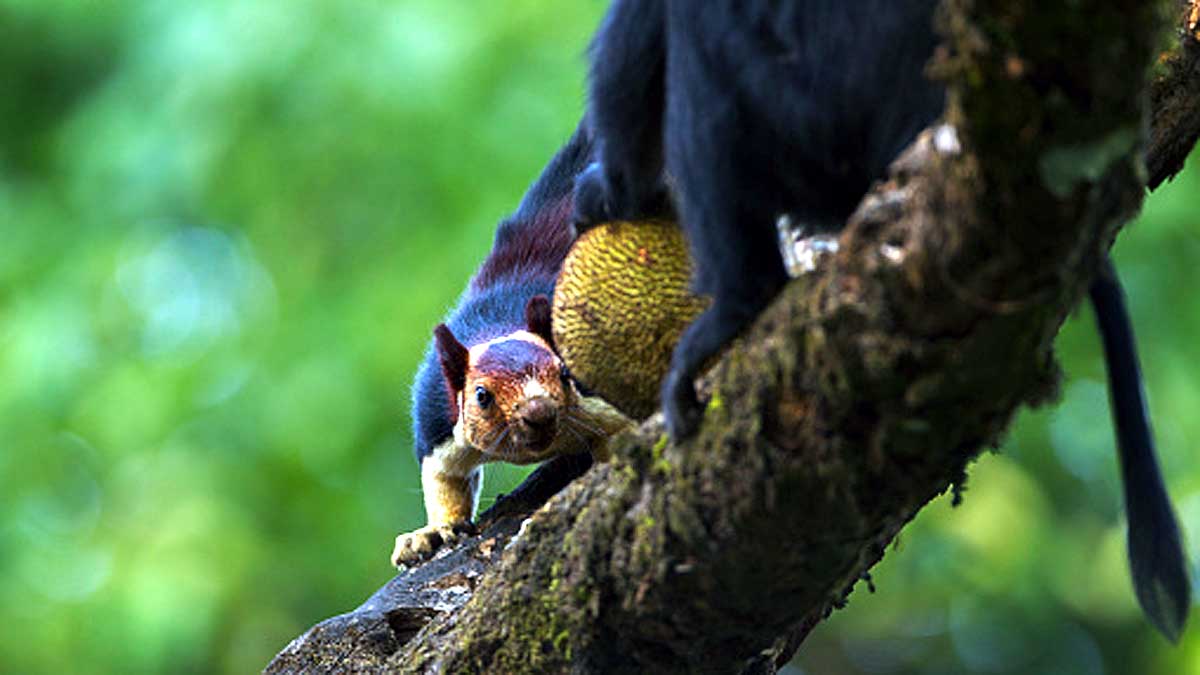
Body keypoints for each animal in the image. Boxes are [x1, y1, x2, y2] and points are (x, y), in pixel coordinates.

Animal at [392, 125, 629, 568]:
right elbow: (443, 478)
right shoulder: (437, 418)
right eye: (481, 395)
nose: (539, 412)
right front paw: (429, 532)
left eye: (564, 374)